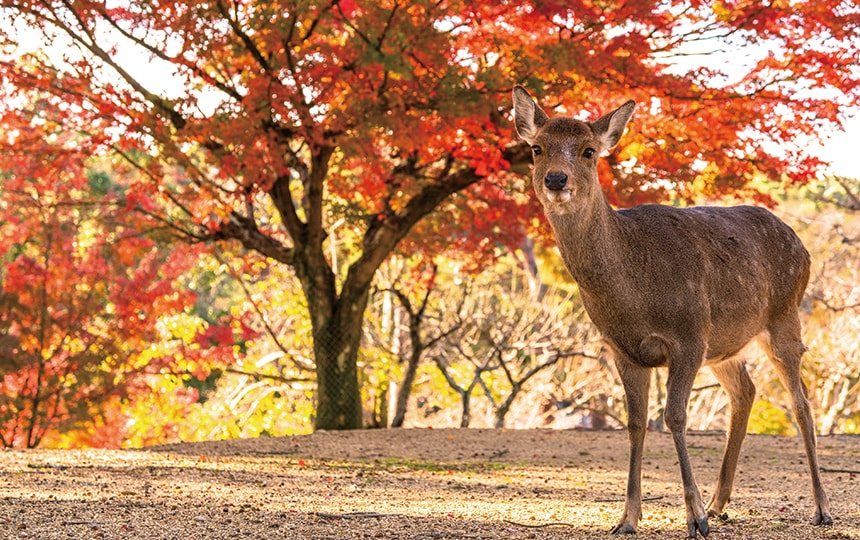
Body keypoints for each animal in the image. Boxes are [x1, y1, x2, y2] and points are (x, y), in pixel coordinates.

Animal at [510, 86, 832, 536]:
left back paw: (821, 508)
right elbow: (635, 422)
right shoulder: (622, 349)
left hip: (784, 316)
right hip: (725, 344)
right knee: (745, 391)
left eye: (589, 151)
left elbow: (675, 417)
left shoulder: (688, 336)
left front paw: (694, 519)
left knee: (801, 404)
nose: (556, 179)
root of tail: (801, 245)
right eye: (537, 148)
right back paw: (720, 503)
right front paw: (628, 518)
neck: (634, 294)